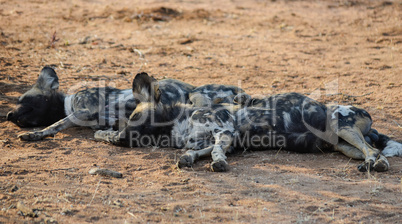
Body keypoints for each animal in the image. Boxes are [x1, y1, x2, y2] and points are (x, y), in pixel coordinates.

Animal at [6, 66, 195, 141]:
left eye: (24, 100)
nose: (8, 115)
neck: (66, 104)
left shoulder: (83, 111)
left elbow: (54, 125)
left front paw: (34, 134)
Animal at [96, 73, 400, 172]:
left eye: (134, 117)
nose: (119, 139)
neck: (178, 123)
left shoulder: (224, 131)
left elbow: (216, 152)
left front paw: (218, 164)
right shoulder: (224, 140)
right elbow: (198, 151)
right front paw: (189, 159)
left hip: (341, 124)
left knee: (374, 152)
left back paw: (375, 165)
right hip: (342, 145)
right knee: (371, 152)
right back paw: (371, 164)